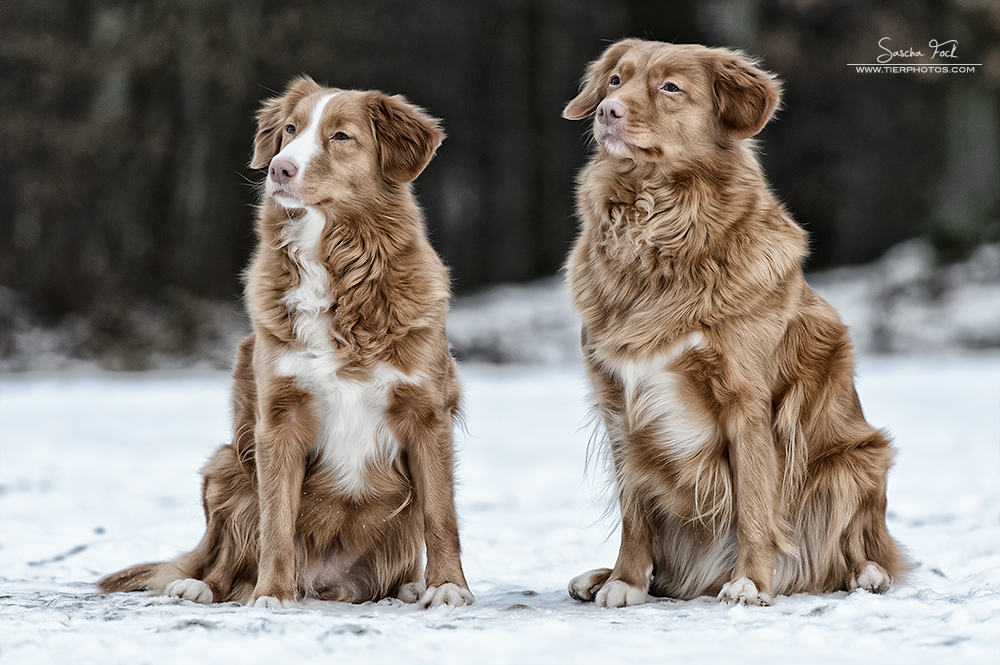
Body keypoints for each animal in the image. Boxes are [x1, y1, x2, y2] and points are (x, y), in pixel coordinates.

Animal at [99, 76, 474, 608]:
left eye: (341, 136)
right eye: (291, 130)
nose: (279, 168)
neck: (333, 262)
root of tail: (327, 582)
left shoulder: (426, 413)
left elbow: (441, 515)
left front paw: (447, 587)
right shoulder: (278, 418)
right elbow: (275, 520)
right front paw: (272, 594)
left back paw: (410, 585)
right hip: (227, 464)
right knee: (227, 555)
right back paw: (202, 585)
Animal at [564, 39, 908, 604]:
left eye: (670, 87)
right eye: (615, 80)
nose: (606, 111)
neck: (655, 223)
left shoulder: (747, 402)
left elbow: (753, 507)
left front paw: (750, 583)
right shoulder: (618, 403)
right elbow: (634, 512)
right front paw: (624, 582)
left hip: (856, 460)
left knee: (853, 549)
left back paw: (866, 575)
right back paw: (600, 577)